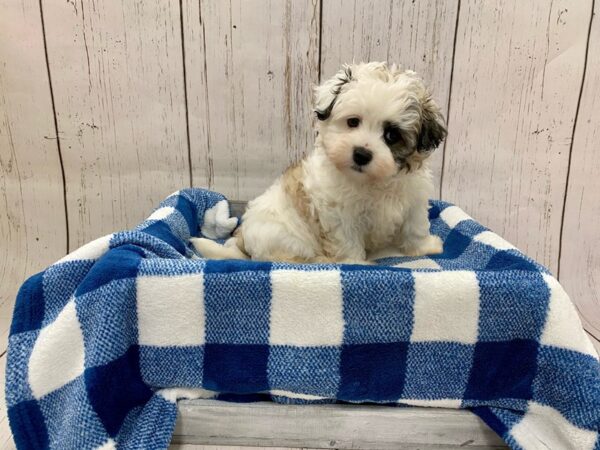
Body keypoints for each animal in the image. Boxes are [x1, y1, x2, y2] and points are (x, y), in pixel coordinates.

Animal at [191, 61, 446, 264]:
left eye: (392, 135)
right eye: (353, 122)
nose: (361, 154)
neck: (373, 181)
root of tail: (244, 239)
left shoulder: (414, 199)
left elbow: (415, 227)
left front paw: (425, 247)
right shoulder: (340, 215)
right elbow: (348, 241)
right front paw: (355, 264)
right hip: (285, 238)